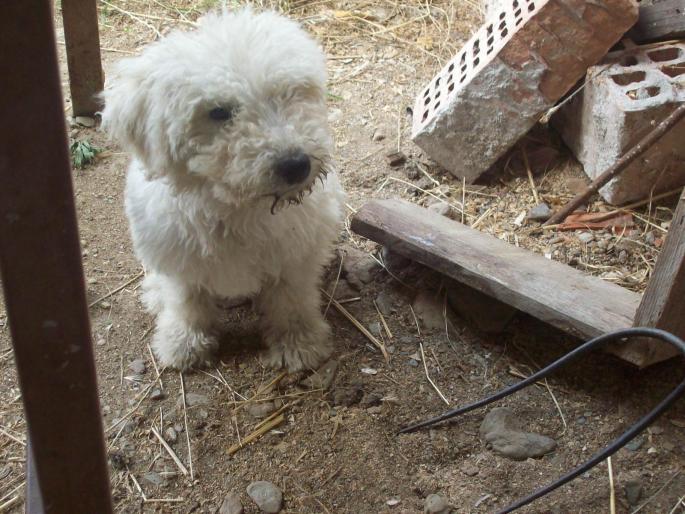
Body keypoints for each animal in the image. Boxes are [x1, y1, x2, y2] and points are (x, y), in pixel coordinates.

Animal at [99, 8, 344, 368]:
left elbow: (291, 302)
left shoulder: (294, 256)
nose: (296, 165)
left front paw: (299, 344)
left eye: (290, 92)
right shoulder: (180, 262)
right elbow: (187, 302)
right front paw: (183, 342)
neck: (236, 208)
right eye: (218, 112)